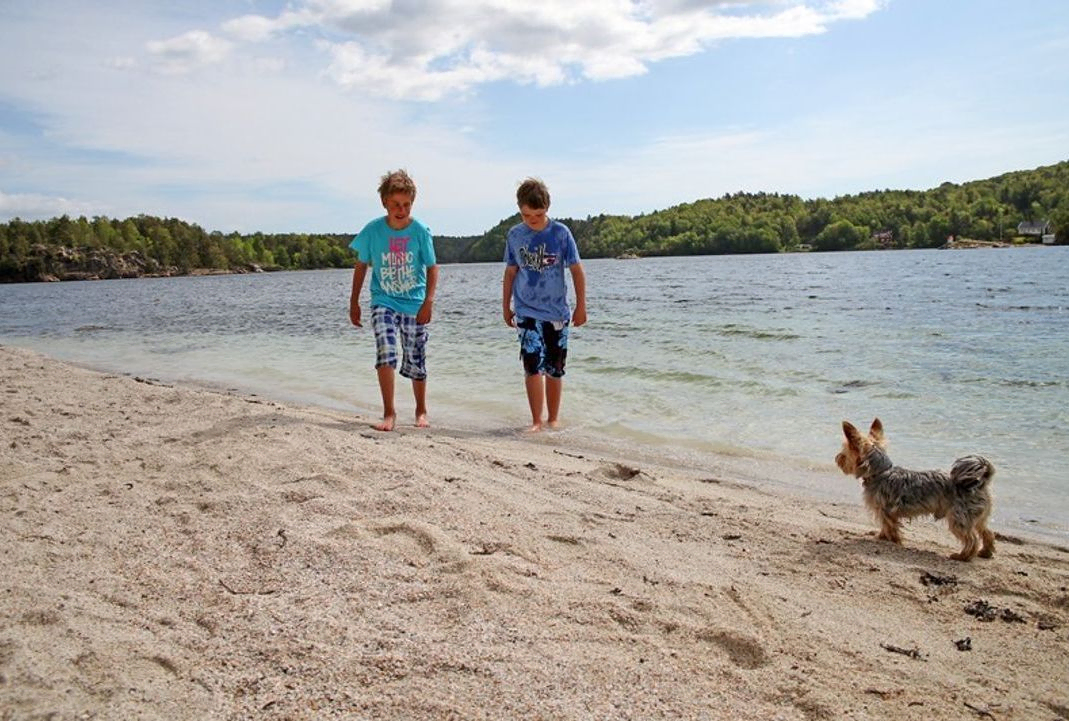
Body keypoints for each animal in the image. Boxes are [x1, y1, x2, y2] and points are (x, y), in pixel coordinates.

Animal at [833, 415, 992, 560]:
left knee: (972, 539)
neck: (880, 472)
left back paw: (963, 556)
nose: (837, 458)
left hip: (959, 518)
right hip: (977, 517)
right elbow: (886, 526)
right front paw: (882, 537)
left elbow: (889, 527)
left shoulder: (886, 511)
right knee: (987, 532)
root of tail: (980, 482)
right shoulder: (886, 512)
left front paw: (891, 540)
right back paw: (985, 552)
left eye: (844, 452)